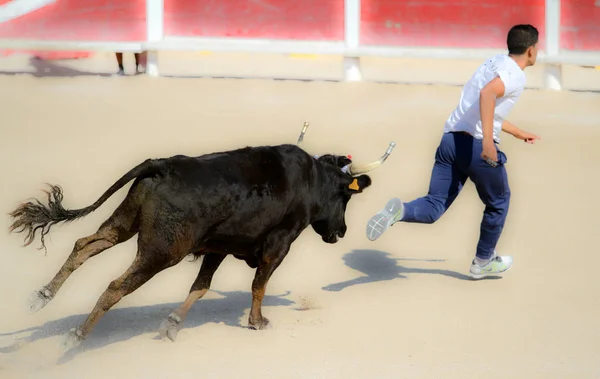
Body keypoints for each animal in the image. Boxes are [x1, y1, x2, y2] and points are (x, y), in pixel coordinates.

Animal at [8, 124, 398, 348]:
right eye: (346, 197)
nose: (340, 232)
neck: (312, 178)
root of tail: (162, 165)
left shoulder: (219, 246)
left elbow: (201, 286)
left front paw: (172, 326)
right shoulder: (278, 244)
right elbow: (259, 284)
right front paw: (258, 322)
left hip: (125, 223)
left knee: (86, 244)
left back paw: (41, 296)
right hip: (162, 251)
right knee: (116, 285)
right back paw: (76, 335)